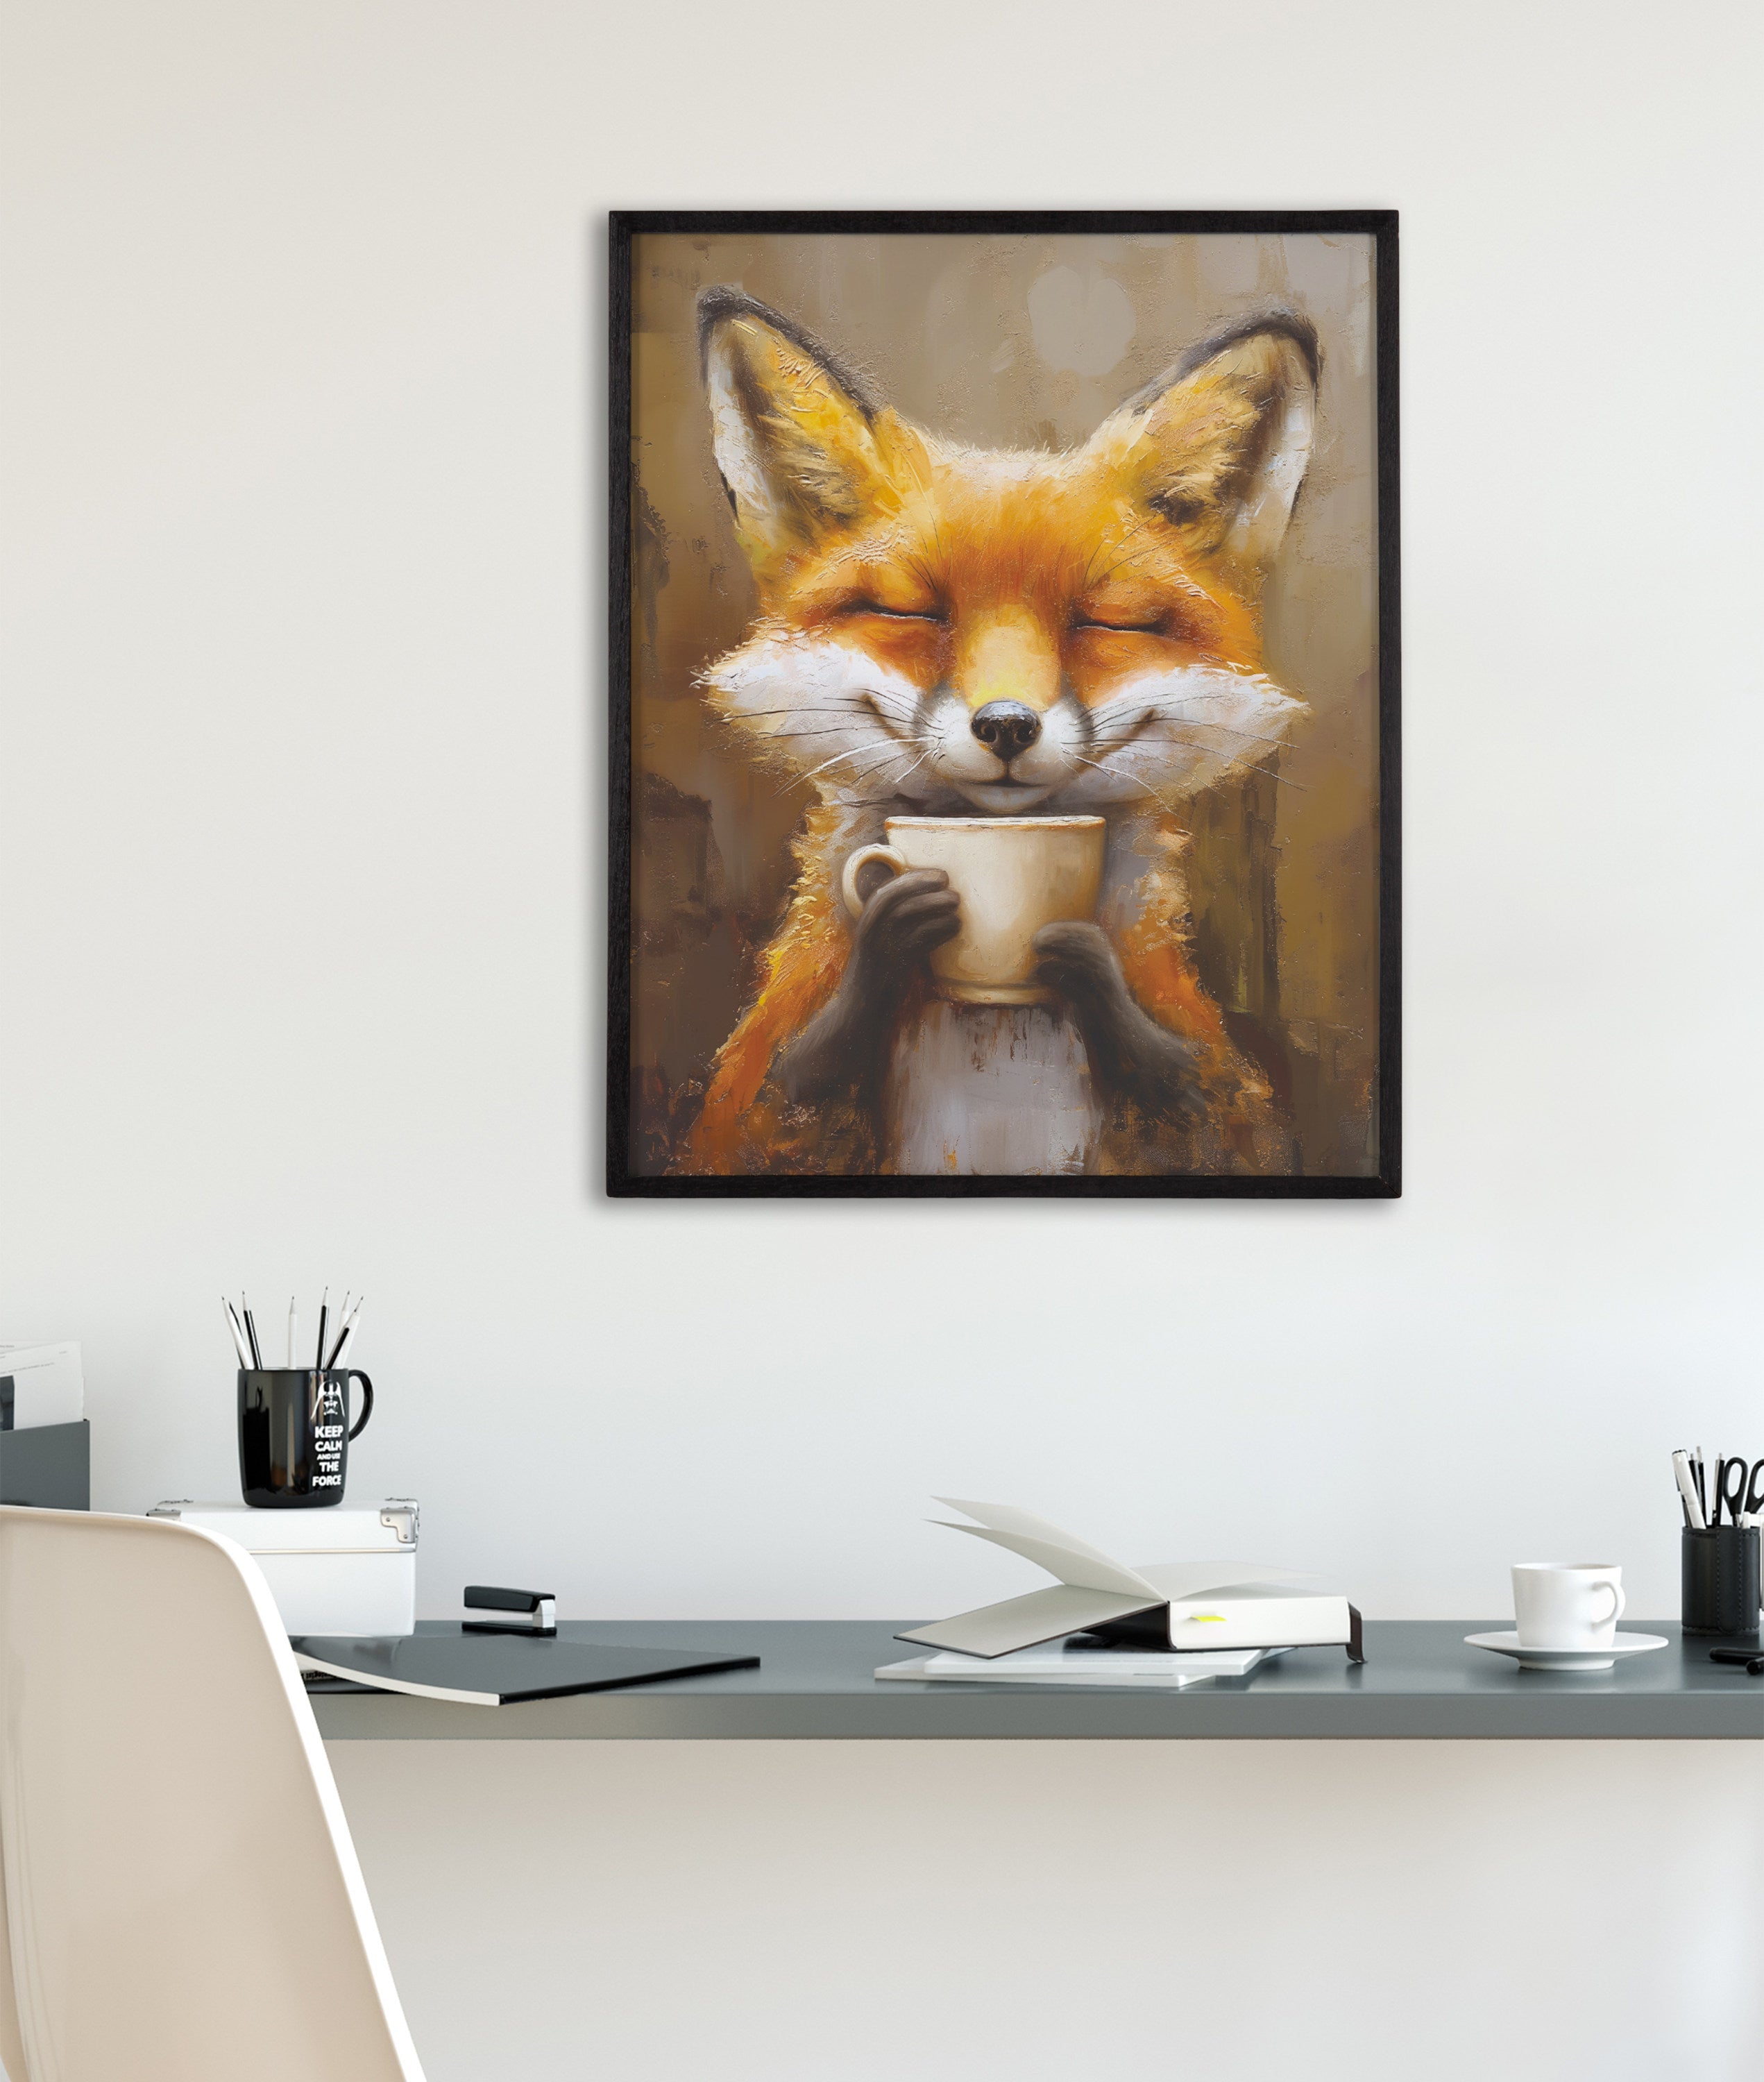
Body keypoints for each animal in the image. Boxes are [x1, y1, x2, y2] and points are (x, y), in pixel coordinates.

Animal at [670, 286, 1318, 1177]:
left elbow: (1199, 1108)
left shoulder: (1225, 1118)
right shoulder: (746, 1118)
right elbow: (782, 1103)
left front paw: (1087, 964)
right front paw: (887, 941)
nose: (1006, 725)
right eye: (912, 612)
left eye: (1104, 621)